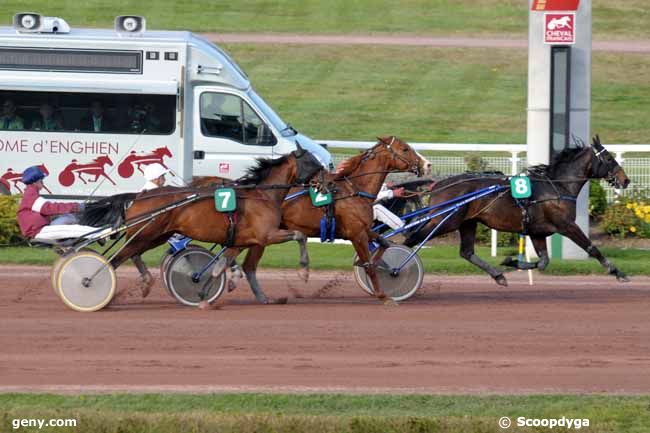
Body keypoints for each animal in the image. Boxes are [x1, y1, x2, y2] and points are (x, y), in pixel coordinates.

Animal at [79, 145, 322, 304]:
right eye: (313, 162)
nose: (326, 181)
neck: (262, 195)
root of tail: (139, 196)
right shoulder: (266, 235)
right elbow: (300, 235)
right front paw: (304, 272)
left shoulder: (240, 241)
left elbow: (219, 266)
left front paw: (204, 292)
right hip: (146, 233)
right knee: (117, 259)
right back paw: (90, 283)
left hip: (155, 235)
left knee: (133, 254)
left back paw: (146, 282)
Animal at [384, 135, 628, 284]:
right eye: (608, 158)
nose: (625, 180)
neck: (557, 187)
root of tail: (439, 184)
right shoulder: (566, 225)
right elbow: (592, 248)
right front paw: (617, 272)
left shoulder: (537, 232)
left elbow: (543, 262)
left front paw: (510, 261)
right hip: (445, 221)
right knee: (411, 240)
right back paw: (392, 268)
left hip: (467, 222)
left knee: (467, 252)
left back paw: (498, 275)